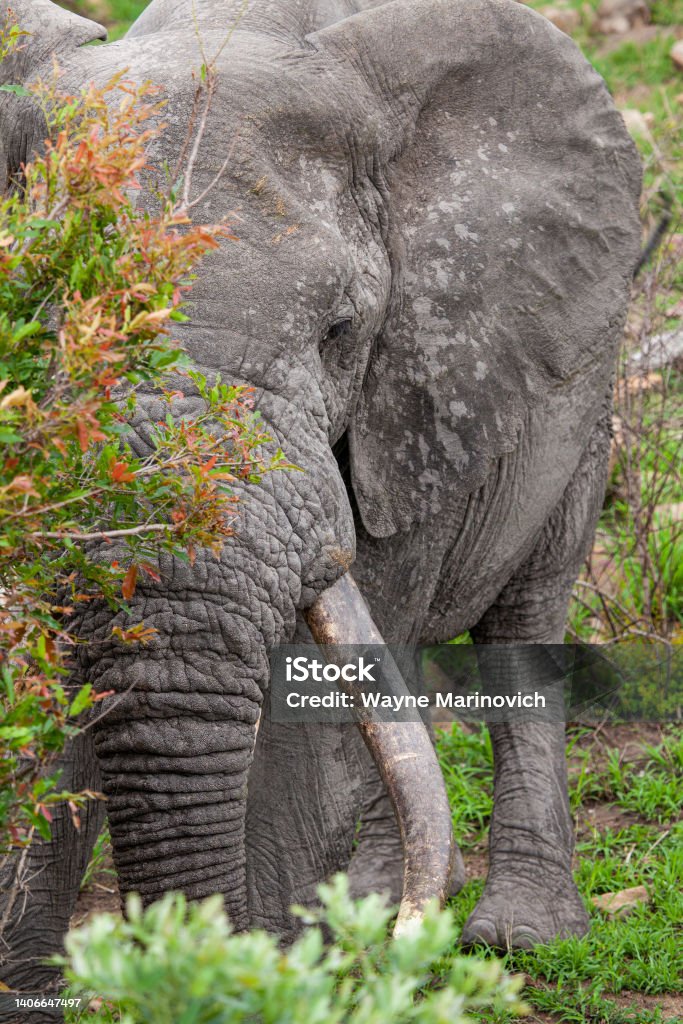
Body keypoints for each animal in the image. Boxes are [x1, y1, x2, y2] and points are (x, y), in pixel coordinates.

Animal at [0, 0, 643, 1007]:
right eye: (48, 307)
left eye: (340, 333)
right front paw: (30, 992)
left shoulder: (412, 390)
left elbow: (308, 719)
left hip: (585, 390)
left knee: (521, 620)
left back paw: (508, 934)